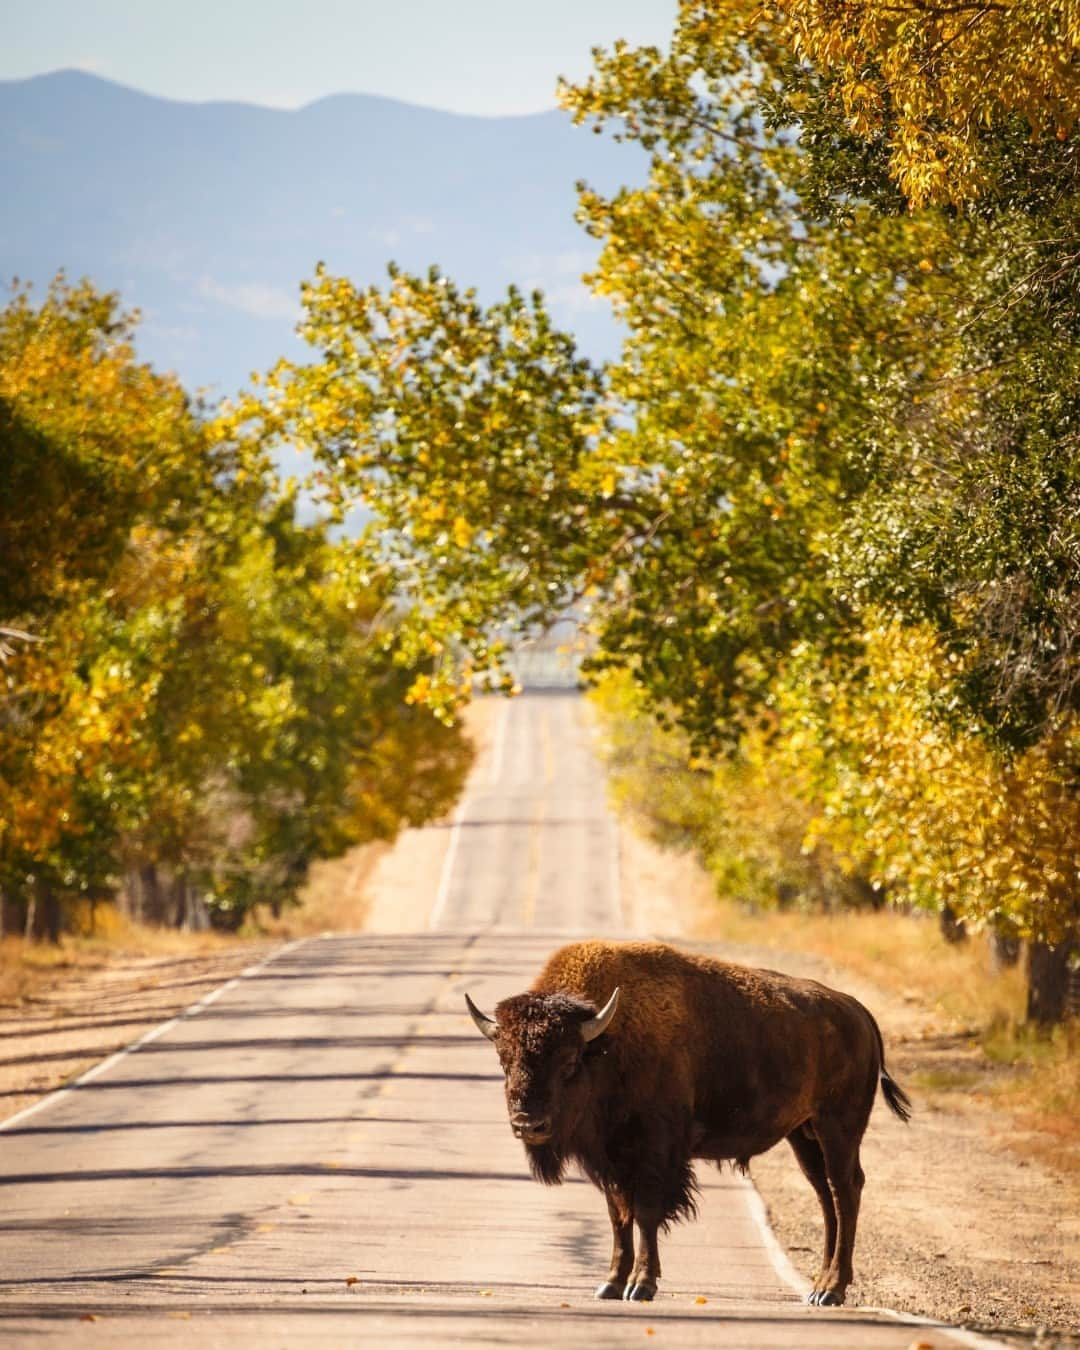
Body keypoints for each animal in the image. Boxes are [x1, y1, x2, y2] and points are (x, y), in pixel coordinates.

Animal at [467, 939, 912, 1306]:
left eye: (569, 1062)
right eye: (504, 1061)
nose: (528, 1124)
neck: (607, 1043)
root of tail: (858, 1012)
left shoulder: (654, 1152)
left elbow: (645, 1214)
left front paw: (640, 1286)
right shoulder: (611, 1161)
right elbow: (618, 1217)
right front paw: (610, 1284)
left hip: (838, 1128)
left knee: (845, 1190)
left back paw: (831, 1290)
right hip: (803, 1136)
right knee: (825, 1197)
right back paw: (819, 1288)